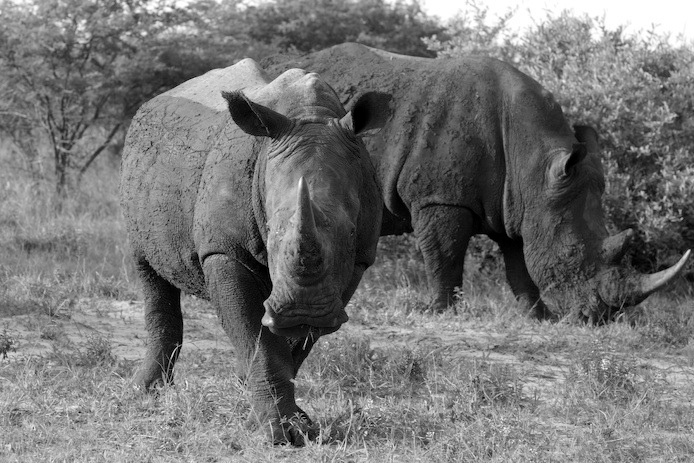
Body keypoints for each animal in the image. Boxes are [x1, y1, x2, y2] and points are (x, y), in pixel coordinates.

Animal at [120, 58, 391, 444]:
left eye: (350, 231)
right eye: (272, 231)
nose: (303, 311)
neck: (309, 116)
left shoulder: (356, 262)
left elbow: (291, 345)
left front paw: (287, 420)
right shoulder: (224, 250)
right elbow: (259, 340)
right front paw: (278, 431)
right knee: (149, 272)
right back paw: (146, 391)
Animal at [264, 43, 690, 322]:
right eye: (572, 255)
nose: (599, 318)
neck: (535, 158)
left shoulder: (519, 201)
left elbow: (519, 264)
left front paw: (538, 317)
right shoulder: (439, 198)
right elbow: (445, 256)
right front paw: (439, 312)